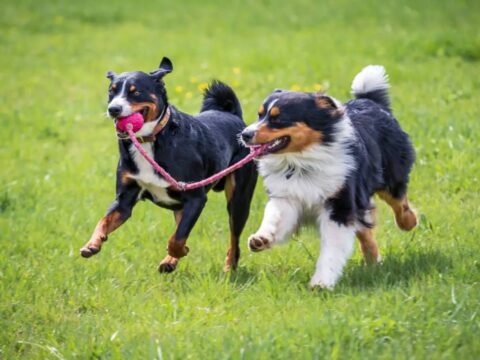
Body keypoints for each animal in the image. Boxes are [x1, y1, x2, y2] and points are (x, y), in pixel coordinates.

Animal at [242, 65, 418, 290]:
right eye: (259, 115)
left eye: (278, 119)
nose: (244, 134)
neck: (301, 163)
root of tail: (370, 101)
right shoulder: (288, 196)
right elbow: (274, 216)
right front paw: (260, 239)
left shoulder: (340, 204)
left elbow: (332, 250)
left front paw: (321, 283)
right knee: (366, 231)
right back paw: (374, 263)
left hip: (390, 176)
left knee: (399, 203)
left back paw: (409, 223)